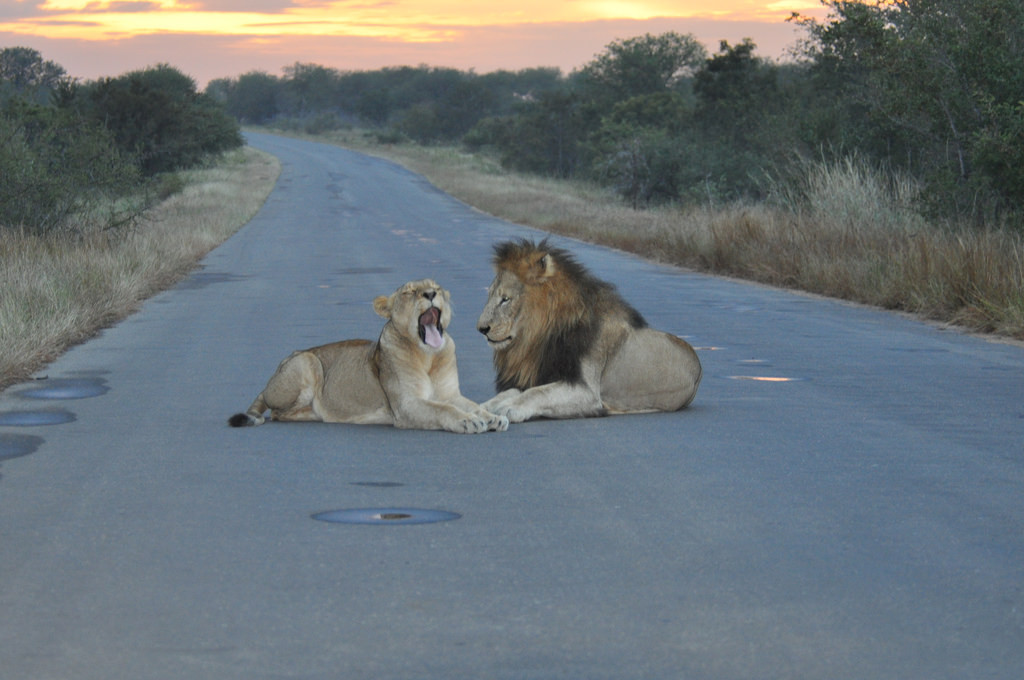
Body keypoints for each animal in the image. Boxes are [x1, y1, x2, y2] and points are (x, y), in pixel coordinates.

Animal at [228, 279, 508, 434]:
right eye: (409, 292)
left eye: (436, 288)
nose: (430, 294)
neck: (429, 357)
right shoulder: (406, 406)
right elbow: (443, 409)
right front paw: (468, 422)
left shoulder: (451, 394)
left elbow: (473, 405)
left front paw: (492, 418)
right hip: (308, 361)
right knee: (278, 413)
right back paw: (317, 413)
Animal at [476, 239, 701, 422]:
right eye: (490, 294)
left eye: (505, 299)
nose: (481, 329)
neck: (542, 337)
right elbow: (511, 392)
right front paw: (481, 408)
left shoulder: (588, 392)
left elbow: (536, 393)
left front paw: (510, 408)